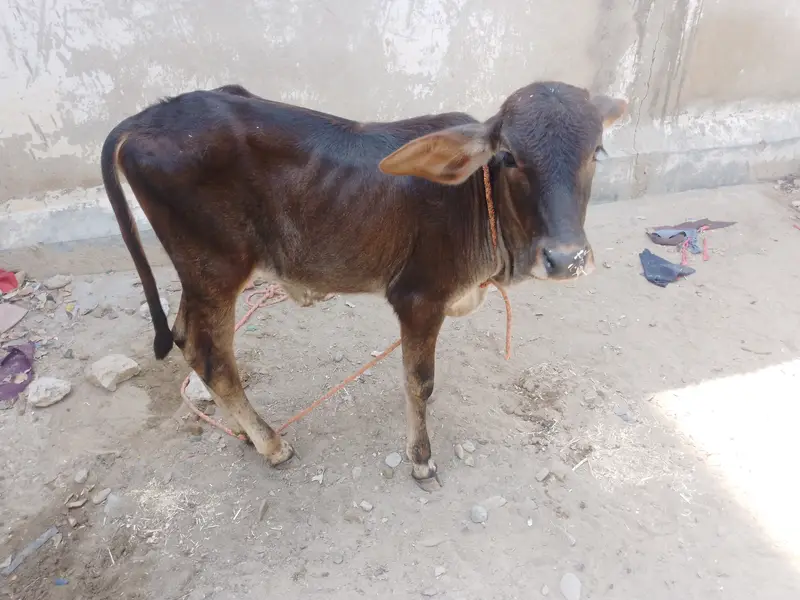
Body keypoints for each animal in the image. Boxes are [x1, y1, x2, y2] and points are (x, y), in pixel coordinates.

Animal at [101, 81, 626, 491]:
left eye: (596, 152)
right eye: (510, 156)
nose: (567, 258)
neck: (475, 201)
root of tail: (146, 118)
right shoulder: (418, 298)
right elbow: (419, 382)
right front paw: (421, 459)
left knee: (185, 335)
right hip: (215, 270)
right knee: (209, 355)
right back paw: (271, 444)